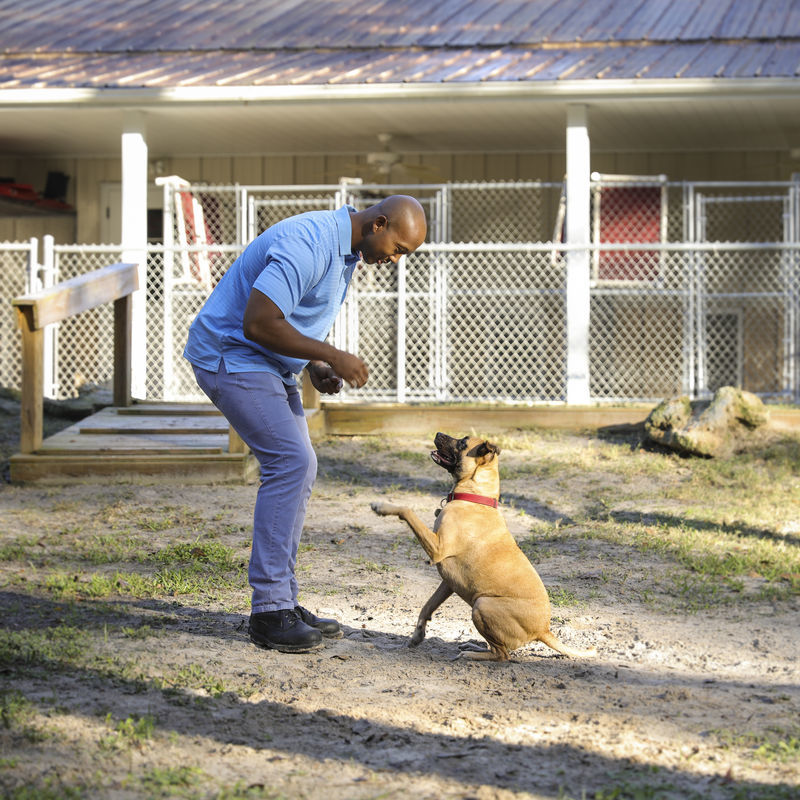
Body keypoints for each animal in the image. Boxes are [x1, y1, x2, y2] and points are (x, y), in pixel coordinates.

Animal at [368, 434, 592, 660]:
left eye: (462, 443)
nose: (438, 434)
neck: (475, 498)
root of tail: (543, 630)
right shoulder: (448, 582)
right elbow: (427, 606)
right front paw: (417, 635)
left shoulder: (437, 549)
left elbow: (407, 510)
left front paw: (382, 507)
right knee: (496, 648)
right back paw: (473, 647)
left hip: (482, 605)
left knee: (503, 655)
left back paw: (470, 655)